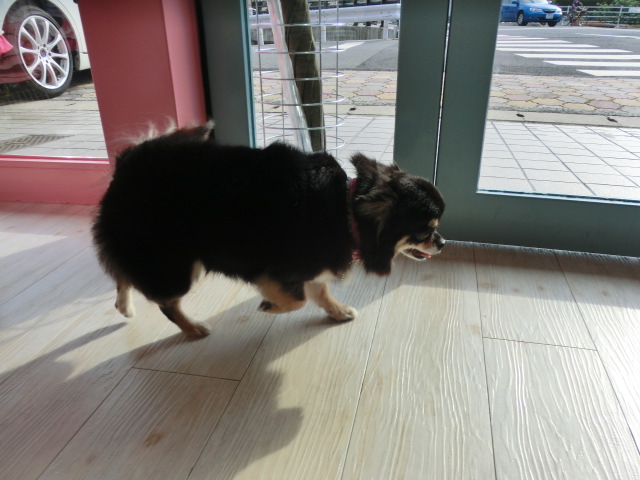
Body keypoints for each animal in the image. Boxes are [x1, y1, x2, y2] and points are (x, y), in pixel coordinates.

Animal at [92, 122, 445, 338]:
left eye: (435, 230)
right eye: (425, 230)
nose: (442, 242)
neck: (346, 211)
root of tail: (125, 165)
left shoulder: (311, 266)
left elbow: (320, 292)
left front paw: (338, 311)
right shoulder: (275, 271)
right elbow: (297, 300)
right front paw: (270, 306)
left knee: (121, 270)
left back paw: (124, 306)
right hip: (178, 264)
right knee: (164, 300)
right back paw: (192, 329)